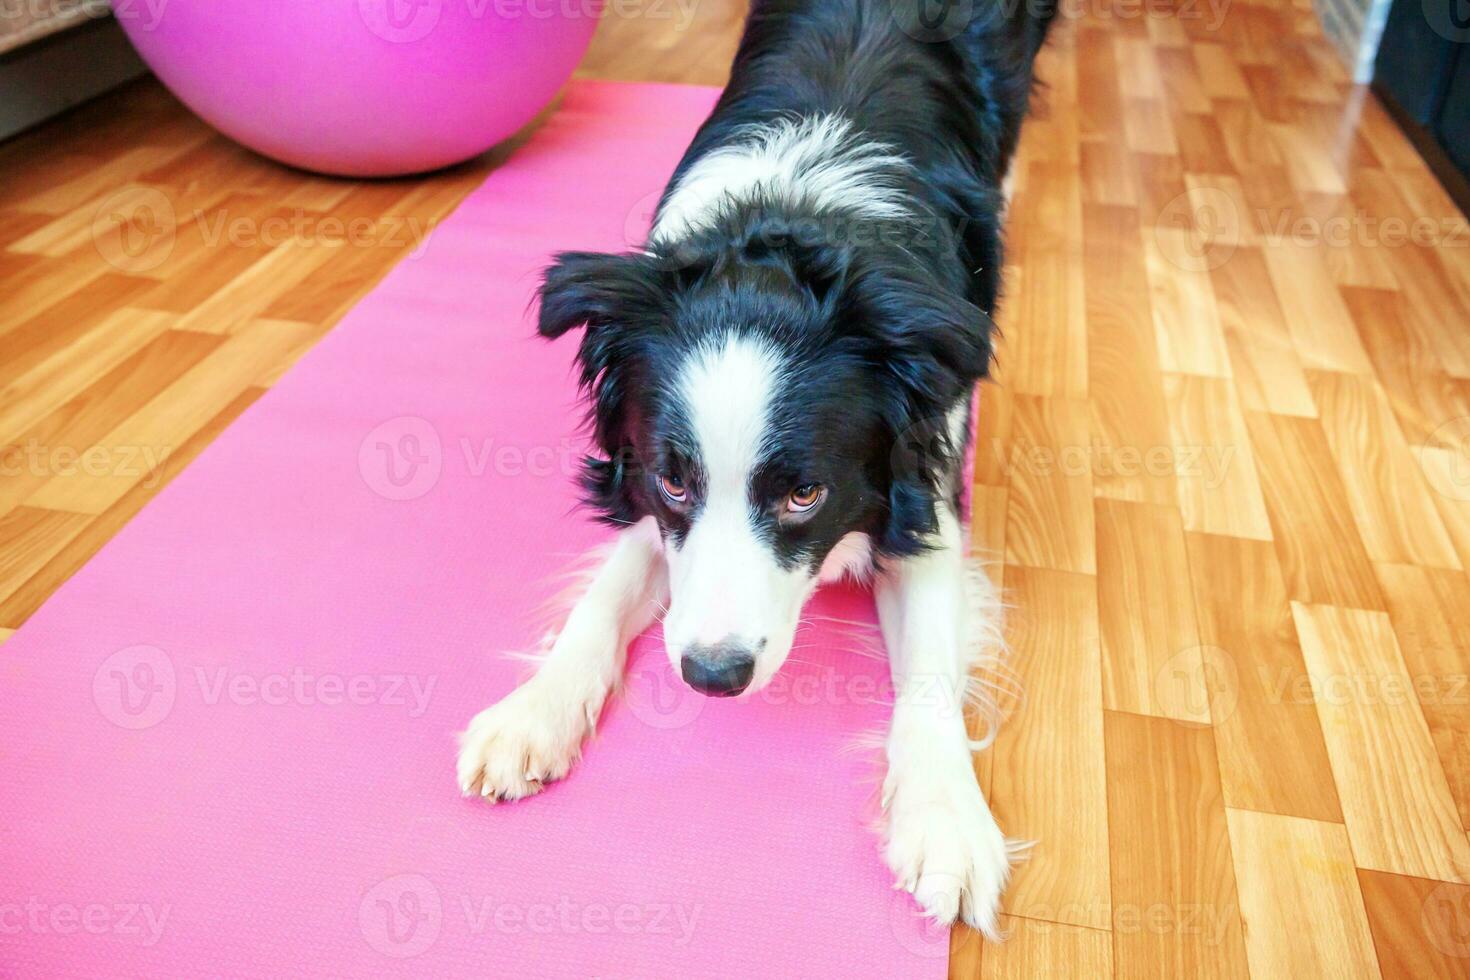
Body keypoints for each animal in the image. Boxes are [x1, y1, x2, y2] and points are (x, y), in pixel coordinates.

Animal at [458, 0, 1058, 940]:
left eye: (805, 493)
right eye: (675, 480)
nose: (712, 677)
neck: (795, 222)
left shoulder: (924, 488)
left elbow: (930, 657)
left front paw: (946, 824)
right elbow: (605, 593)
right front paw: (533, 713)